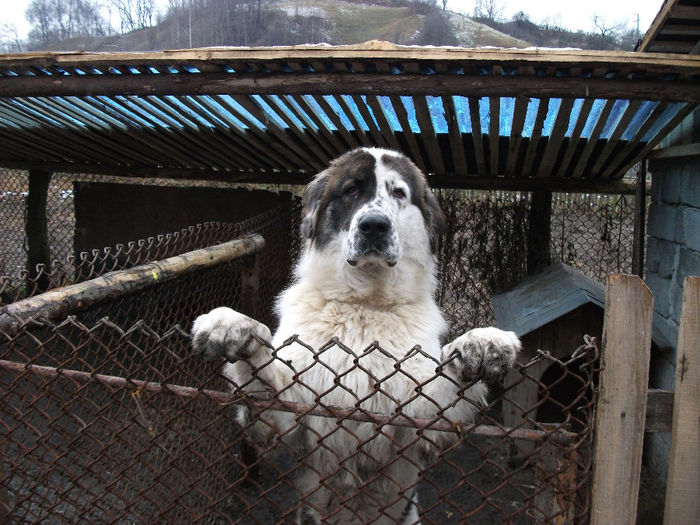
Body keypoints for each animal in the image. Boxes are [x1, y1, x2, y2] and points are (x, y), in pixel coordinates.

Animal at [191, 147, 520, 524]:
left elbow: (448, 384)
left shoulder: (421, 424)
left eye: (398, 193)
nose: (374, 225)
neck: (365, 304)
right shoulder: (287, 420)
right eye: (350, 191)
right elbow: (262, 372)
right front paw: (231, 323)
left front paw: (482, 342)